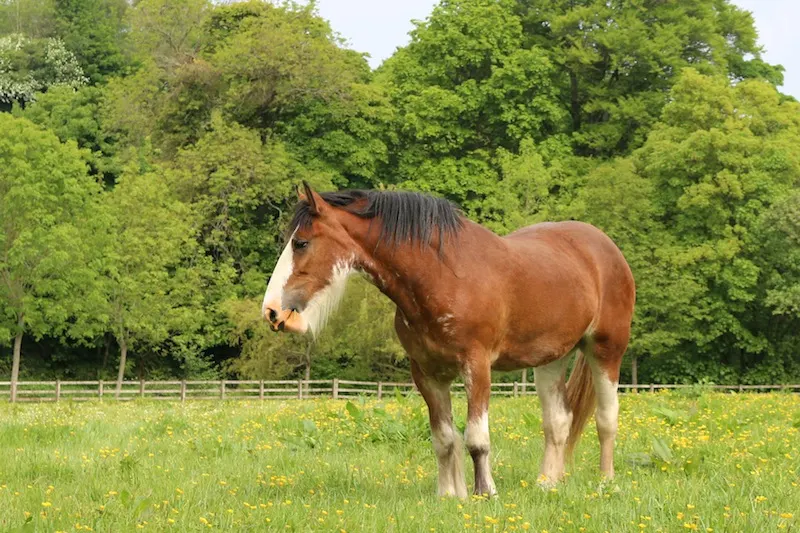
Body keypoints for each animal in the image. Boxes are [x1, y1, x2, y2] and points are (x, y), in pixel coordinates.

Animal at [262, 182, 636, 494]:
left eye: (301, 243)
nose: (272, 311)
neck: (443, 276)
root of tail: (605, 247)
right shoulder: (427, 373)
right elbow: (444, 438)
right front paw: (449, 495)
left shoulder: (477, 367)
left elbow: (476, 438)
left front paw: (485, 493)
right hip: (551, 359)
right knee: (558, 422)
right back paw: (547, 484)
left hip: (607, 349)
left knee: (606, 418)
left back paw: (607, 482)